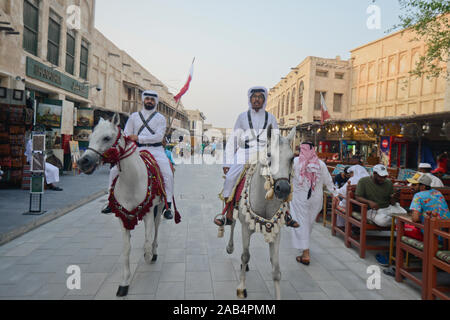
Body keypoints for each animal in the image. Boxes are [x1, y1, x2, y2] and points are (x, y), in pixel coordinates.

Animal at [78, 115, 163, 298]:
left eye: (107, 138)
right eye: (90, 137)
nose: (83, 161)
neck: (131, 180)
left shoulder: (147, 212)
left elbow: (147, 242)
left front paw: (148, 255)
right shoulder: (123, 217)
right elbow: (126, 250)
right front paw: (124, 282)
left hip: (159, 208)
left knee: (156, 229)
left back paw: (154, 251)